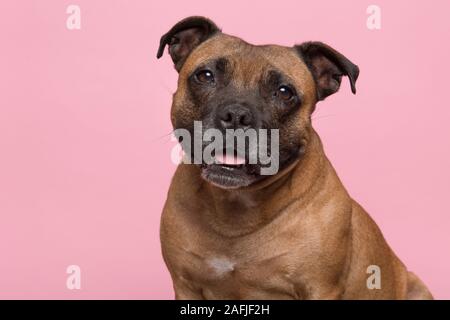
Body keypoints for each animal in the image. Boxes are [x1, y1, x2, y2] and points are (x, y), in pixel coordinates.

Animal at [156, 15, 434, 300]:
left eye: (284, 91)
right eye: (205, 76)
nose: (236, 116)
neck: (235, 208)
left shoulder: (319, 289)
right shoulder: (185, 286)